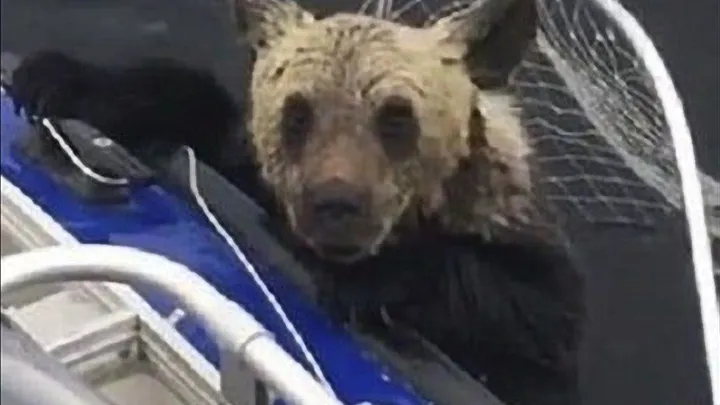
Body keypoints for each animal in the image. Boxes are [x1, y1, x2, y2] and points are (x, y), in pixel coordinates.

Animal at [6, 1, 586, 404]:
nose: (337, 203)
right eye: (297, 114)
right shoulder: (239, 161)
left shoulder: (510, 238)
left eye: (397, 117)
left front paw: (372, 279)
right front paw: (59, 80)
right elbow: (183, 102)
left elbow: (525, 313)